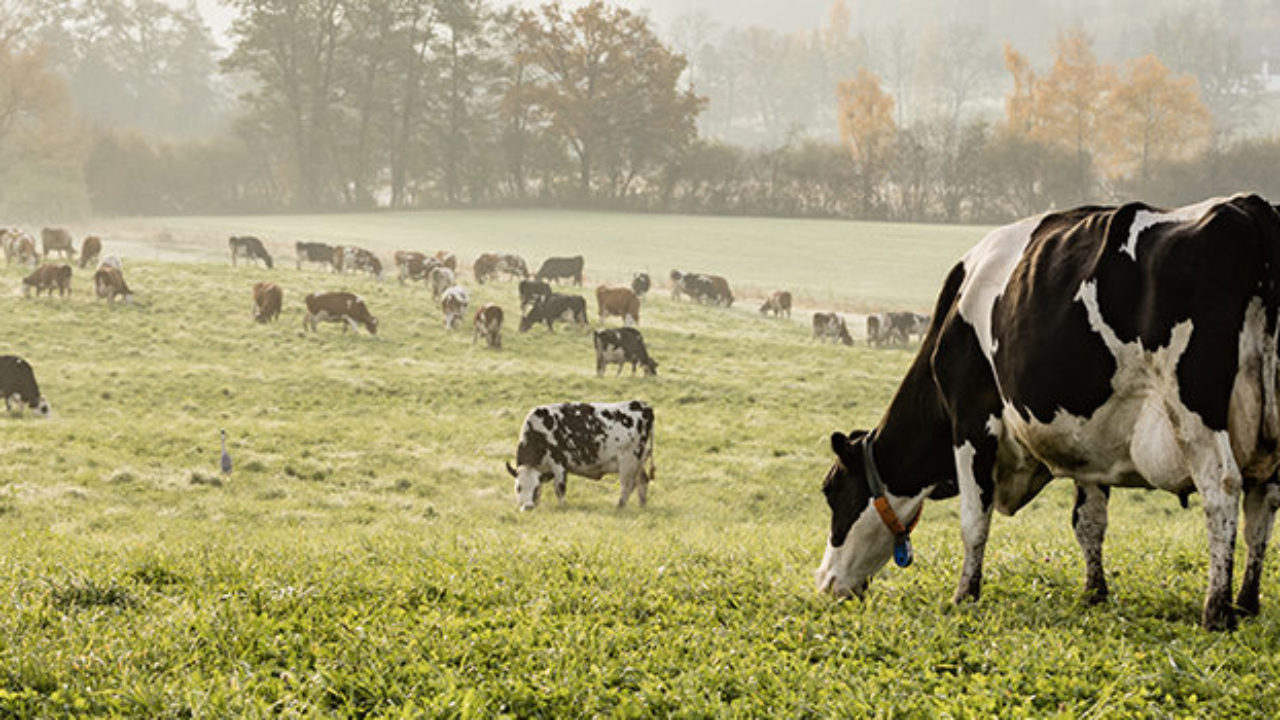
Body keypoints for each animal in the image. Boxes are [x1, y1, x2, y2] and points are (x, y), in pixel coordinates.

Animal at [504, 397, 655, 509]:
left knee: (627, 486)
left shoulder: (559, 464)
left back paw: (620, 507)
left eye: (534, 488)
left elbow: (560, 488)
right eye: (518, 488)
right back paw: (642, 506)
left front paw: (562, 507)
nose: (528, 507)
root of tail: (642, 405)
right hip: (639, 462)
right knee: (643, 481)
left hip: (628, 461)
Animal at [814, 194, 1280, 627]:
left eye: (831, 490)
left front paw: (964, 594)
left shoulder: (971, 419)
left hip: (1194, 410)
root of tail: (1250, 208)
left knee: (1222, 489)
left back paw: (1217, 610)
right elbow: (1088, 521)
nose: (825, 582)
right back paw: (1246, 602)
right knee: (1262, 506)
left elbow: (973, 519)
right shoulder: (1092, 440)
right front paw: (1094, 593)